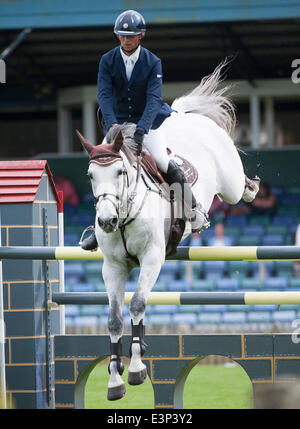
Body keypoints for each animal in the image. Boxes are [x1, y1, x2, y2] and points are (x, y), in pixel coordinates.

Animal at [77, 61, 258, 400]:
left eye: (120, 171)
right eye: (91, 175)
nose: (106, 221)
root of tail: (188, 117)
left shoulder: (152, 256)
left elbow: (137, 303)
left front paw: (136, 369)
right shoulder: (113, 267)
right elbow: (114, 319)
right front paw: (115, 381)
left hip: (229, 183)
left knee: (239, 187)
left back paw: (250, 189)